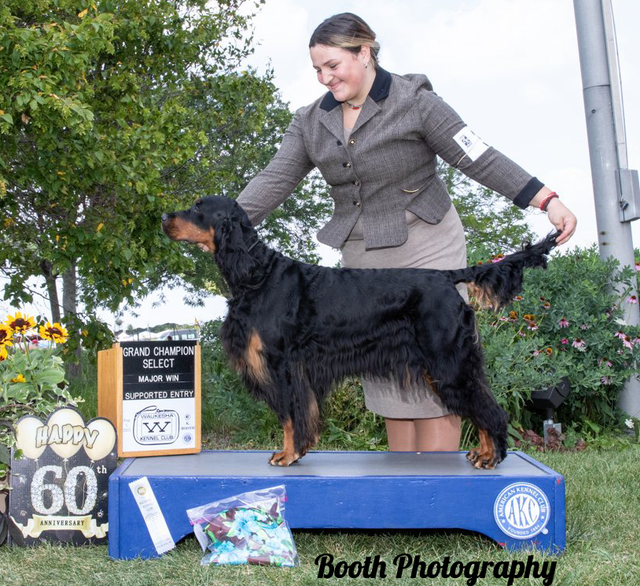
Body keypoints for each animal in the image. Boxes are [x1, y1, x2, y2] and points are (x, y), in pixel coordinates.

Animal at [162, 198, 556, 468]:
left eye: (198, 208)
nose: (165, 217)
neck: (258, 273)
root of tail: (447, 277)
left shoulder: (282, 364)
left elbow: (289, 415)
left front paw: (288, 454)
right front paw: (297, 451)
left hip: (448, 362)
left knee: (489, 408)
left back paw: (492, 455)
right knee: (481, 402)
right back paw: (485, 452)